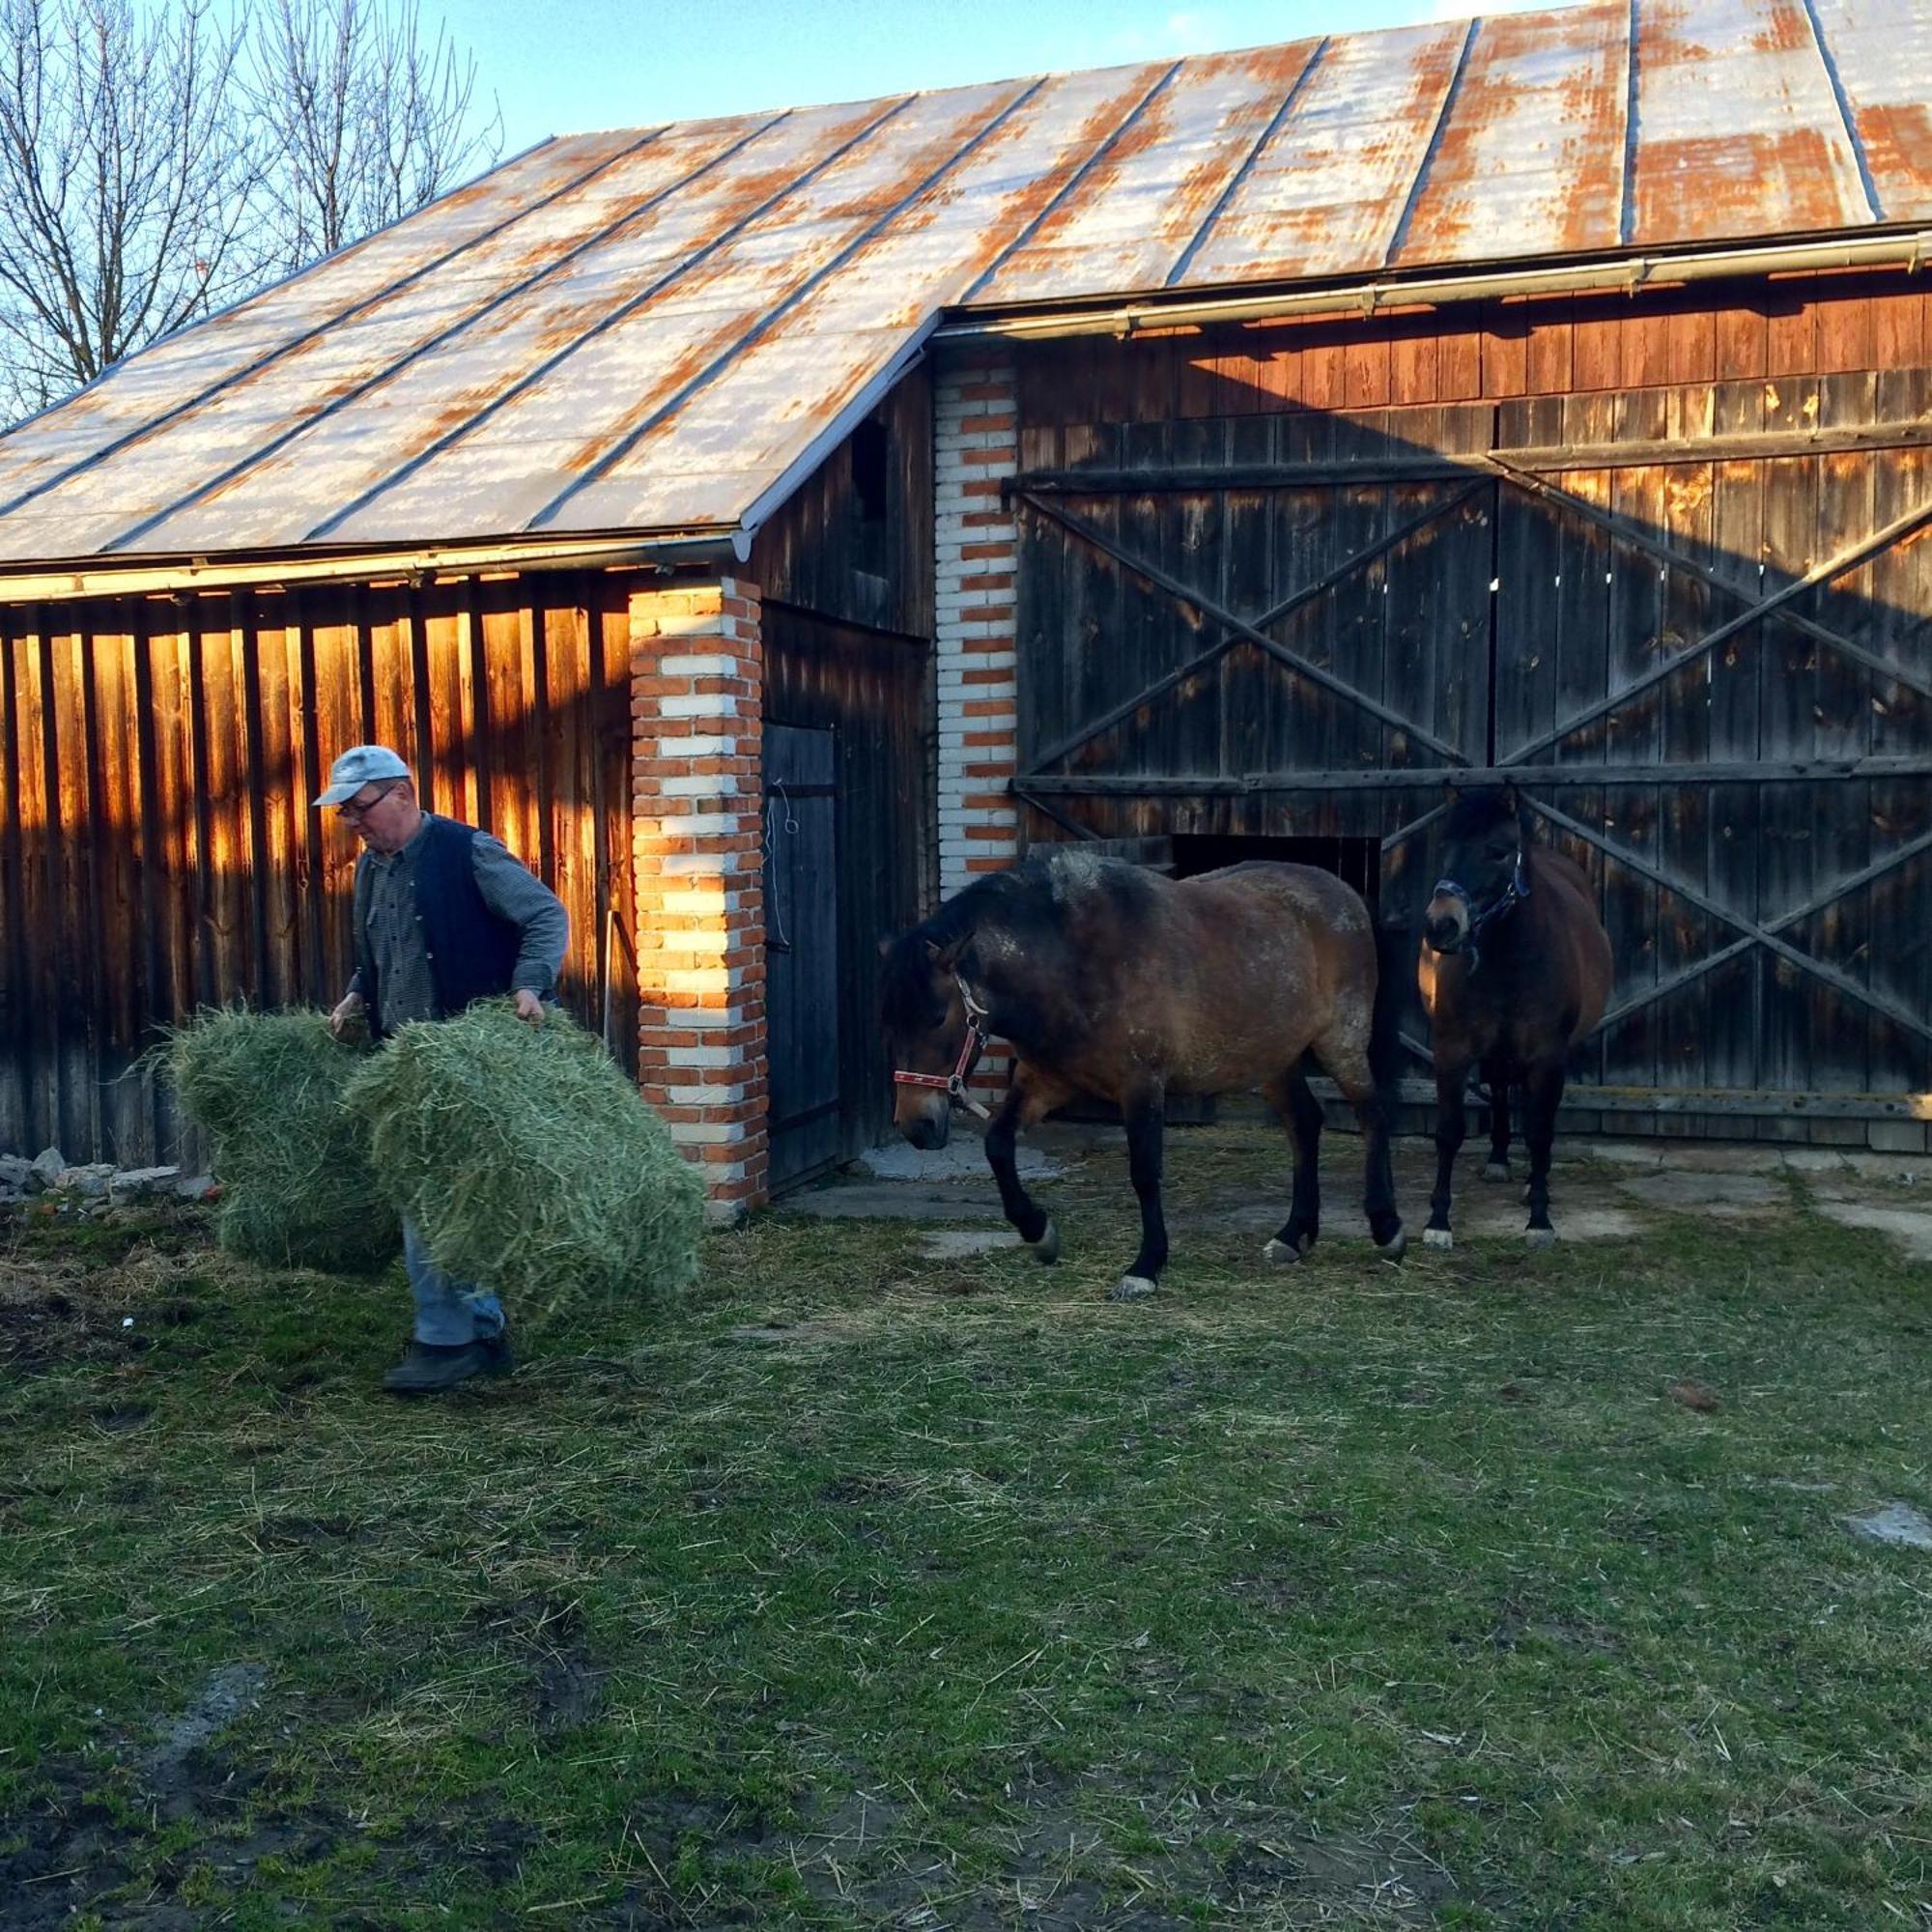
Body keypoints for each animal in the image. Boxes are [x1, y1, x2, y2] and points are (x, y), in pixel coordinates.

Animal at [881, 854, 1406, 1306]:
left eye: (938, 1017)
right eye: (889, 1022)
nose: (916, 1126)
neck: (1072, 960)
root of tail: (1343, 894)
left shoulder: (1142, 1085)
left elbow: (1144, 1173)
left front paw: (1145, 1267)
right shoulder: (1045, 1081)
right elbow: (998, 1145)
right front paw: (1039, 1232)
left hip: (1341, 1043)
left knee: (1374, 1117)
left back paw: (1387, 1228)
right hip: (1275, 1059)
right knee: (1304, 1126)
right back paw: (1293, 1237)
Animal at [1422, 784, 1615, 1252]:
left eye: (1497, 852)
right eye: (1445, 846)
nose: (1440, 926)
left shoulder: (1548, 1056)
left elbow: (1540, 1131)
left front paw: (1539, 1221)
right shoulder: (1451, 1051)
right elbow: (1449, 1131)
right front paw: (1438, 1222)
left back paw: (1531, 1182)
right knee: (1499, 1087)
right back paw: (1498, 1161)